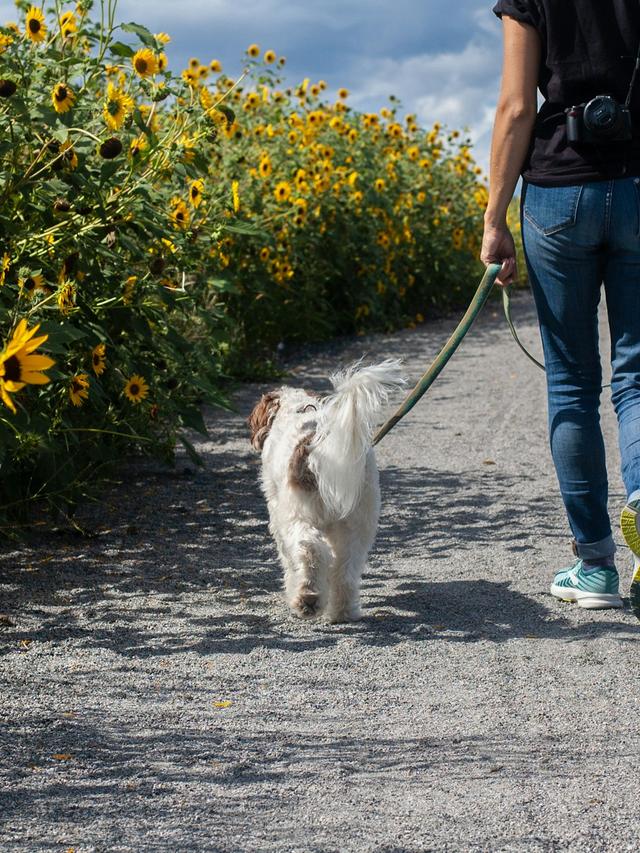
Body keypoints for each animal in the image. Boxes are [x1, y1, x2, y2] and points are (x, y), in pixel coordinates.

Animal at [248, 356, 402, 624]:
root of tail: (316, 444)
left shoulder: (278, 516)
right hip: (358, 522)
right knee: (346, 569)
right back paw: (343, 611)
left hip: (298, 516)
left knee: (310, 550)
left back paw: (307, 599)